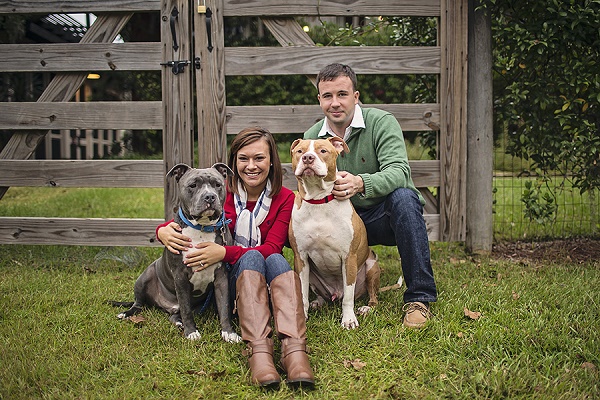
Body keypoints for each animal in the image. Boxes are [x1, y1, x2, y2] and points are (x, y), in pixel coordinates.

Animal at [117, 163, 241, 343]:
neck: (201, 228)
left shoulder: (221, 277)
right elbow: (186, 308)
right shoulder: (180, 276)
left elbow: (224, 307)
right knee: (140, 303)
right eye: (193, 185)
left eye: (217, 184)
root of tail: (166, 306)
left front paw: (229, 333)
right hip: (144, 277)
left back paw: (178, 322)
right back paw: (128, 313)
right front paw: (191, 332)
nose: (210, 197)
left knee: (176, 314)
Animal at [288, 137, 381, 329]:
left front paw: (349, 320)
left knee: (371, 296)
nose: (308, 158)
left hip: (371, 266)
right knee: (320, 294)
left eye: (323, 151)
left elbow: (348, 297)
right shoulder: (300, 258)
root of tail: (335, 293)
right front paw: (302, 315)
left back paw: (367, 308)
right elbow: (302, 293)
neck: (318, 200)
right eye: (300, 151)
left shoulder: (349, 258)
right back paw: (318, 302)